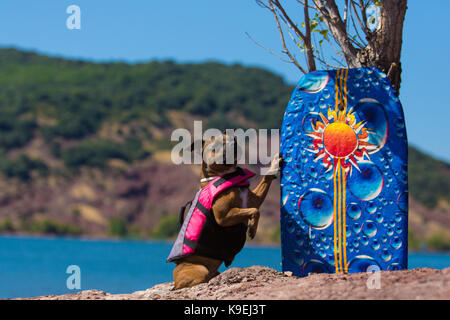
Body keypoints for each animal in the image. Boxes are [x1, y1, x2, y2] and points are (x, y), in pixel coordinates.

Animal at [170, 131, 280, 288]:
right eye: (215, 146)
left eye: (233, 139)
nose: (233, 144)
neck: (226, 175)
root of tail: (175, 280)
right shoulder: (224, 217)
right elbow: (254, 211)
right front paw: (252, 228)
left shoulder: (254, 199)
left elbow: (265, 180)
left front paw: (275, 164)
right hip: (200, 270)